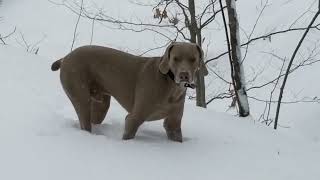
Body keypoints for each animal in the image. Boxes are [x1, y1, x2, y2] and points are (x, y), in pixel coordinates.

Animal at [51, 42, 209, 142]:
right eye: (176, 58)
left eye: (193, 59)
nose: (184, 75)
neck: (170, 86)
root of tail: (65, 57)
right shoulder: (134, 117)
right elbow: (129, 133)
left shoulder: (173, 123)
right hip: (79, 93)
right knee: (84, 119)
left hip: (101, 103)